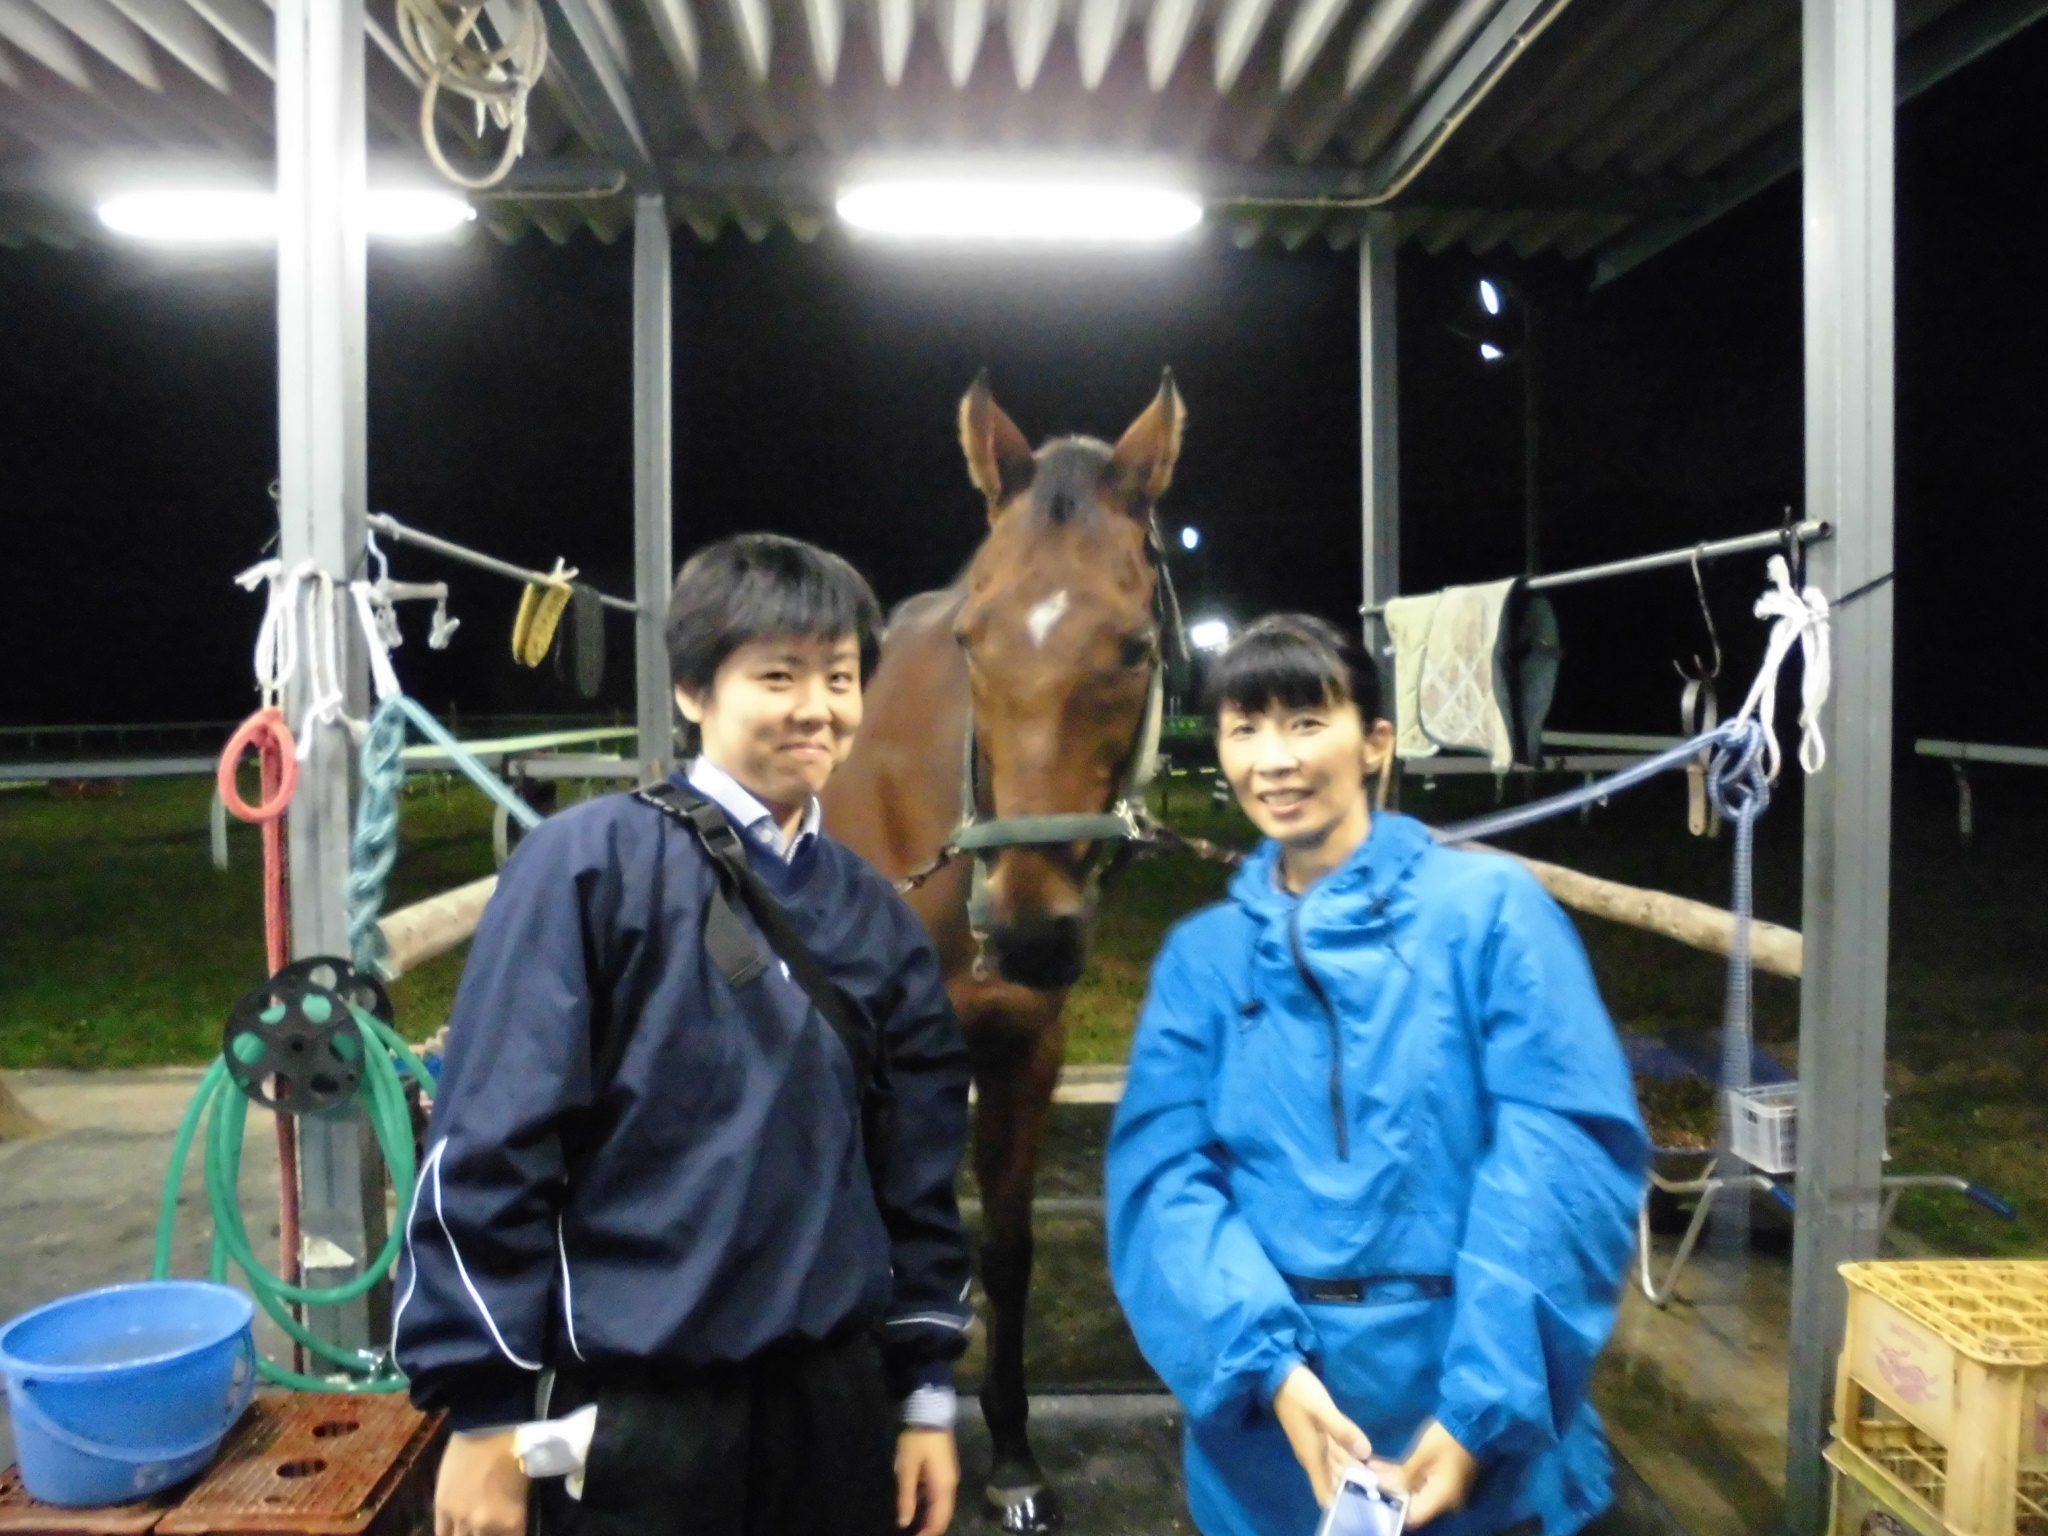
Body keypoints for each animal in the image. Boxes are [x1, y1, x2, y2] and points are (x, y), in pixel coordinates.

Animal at [823, 371, 1187, 1533]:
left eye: (1133, 648)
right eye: (972, 643)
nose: (1027, 929)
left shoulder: (1024, 1045)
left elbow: (1011, 1248)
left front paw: (1014, 1454)